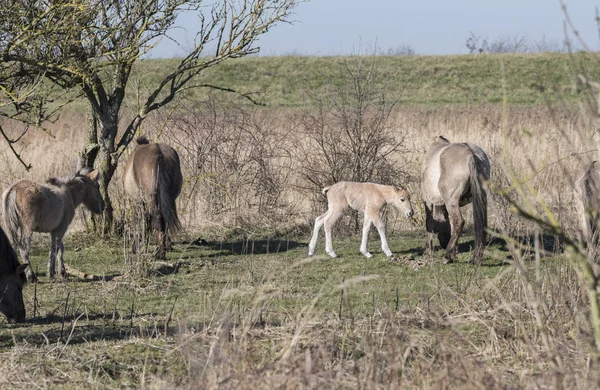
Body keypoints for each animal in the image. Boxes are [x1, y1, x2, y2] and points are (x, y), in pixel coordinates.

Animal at [420, 136, 490, 264]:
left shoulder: (428, 201)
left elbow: (429, 223)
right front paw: (455, 250)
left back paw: (447, 256)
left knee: (459, 222)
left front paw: (428, 251)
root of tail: (470, 153)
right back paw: (476, 257)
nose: (444, 243)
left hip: (450, 201)